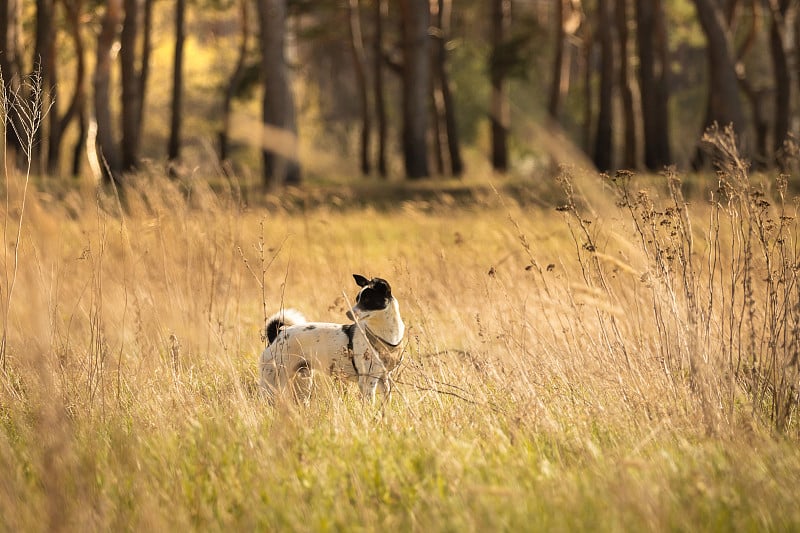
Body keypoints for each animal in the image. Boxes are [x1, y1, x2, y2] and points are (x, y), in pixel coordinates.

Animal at [258, 276, 404, 402]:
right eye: (357, 299)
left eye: (368, 300)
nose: (348, 313)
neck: (384, 334)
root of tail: (275, 336)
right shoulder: (368, 381)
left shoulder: (384, 379)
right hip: (272, 383)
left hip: (303, 382)